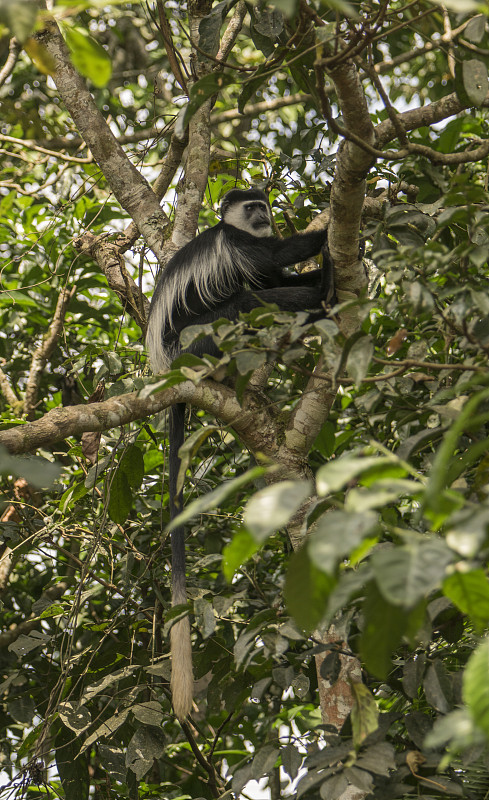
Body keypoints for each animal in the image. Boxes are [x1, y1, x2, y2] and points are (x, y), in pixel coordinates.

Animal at [146, 189, 332, 720]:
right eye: (251, 207)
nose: (264, 214)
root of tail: (172, 373)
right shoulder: (235, 245)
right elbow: (276, 258)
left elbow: (277, 274)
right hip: (198, 342)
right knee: (247, 303)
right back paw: (322, 301)